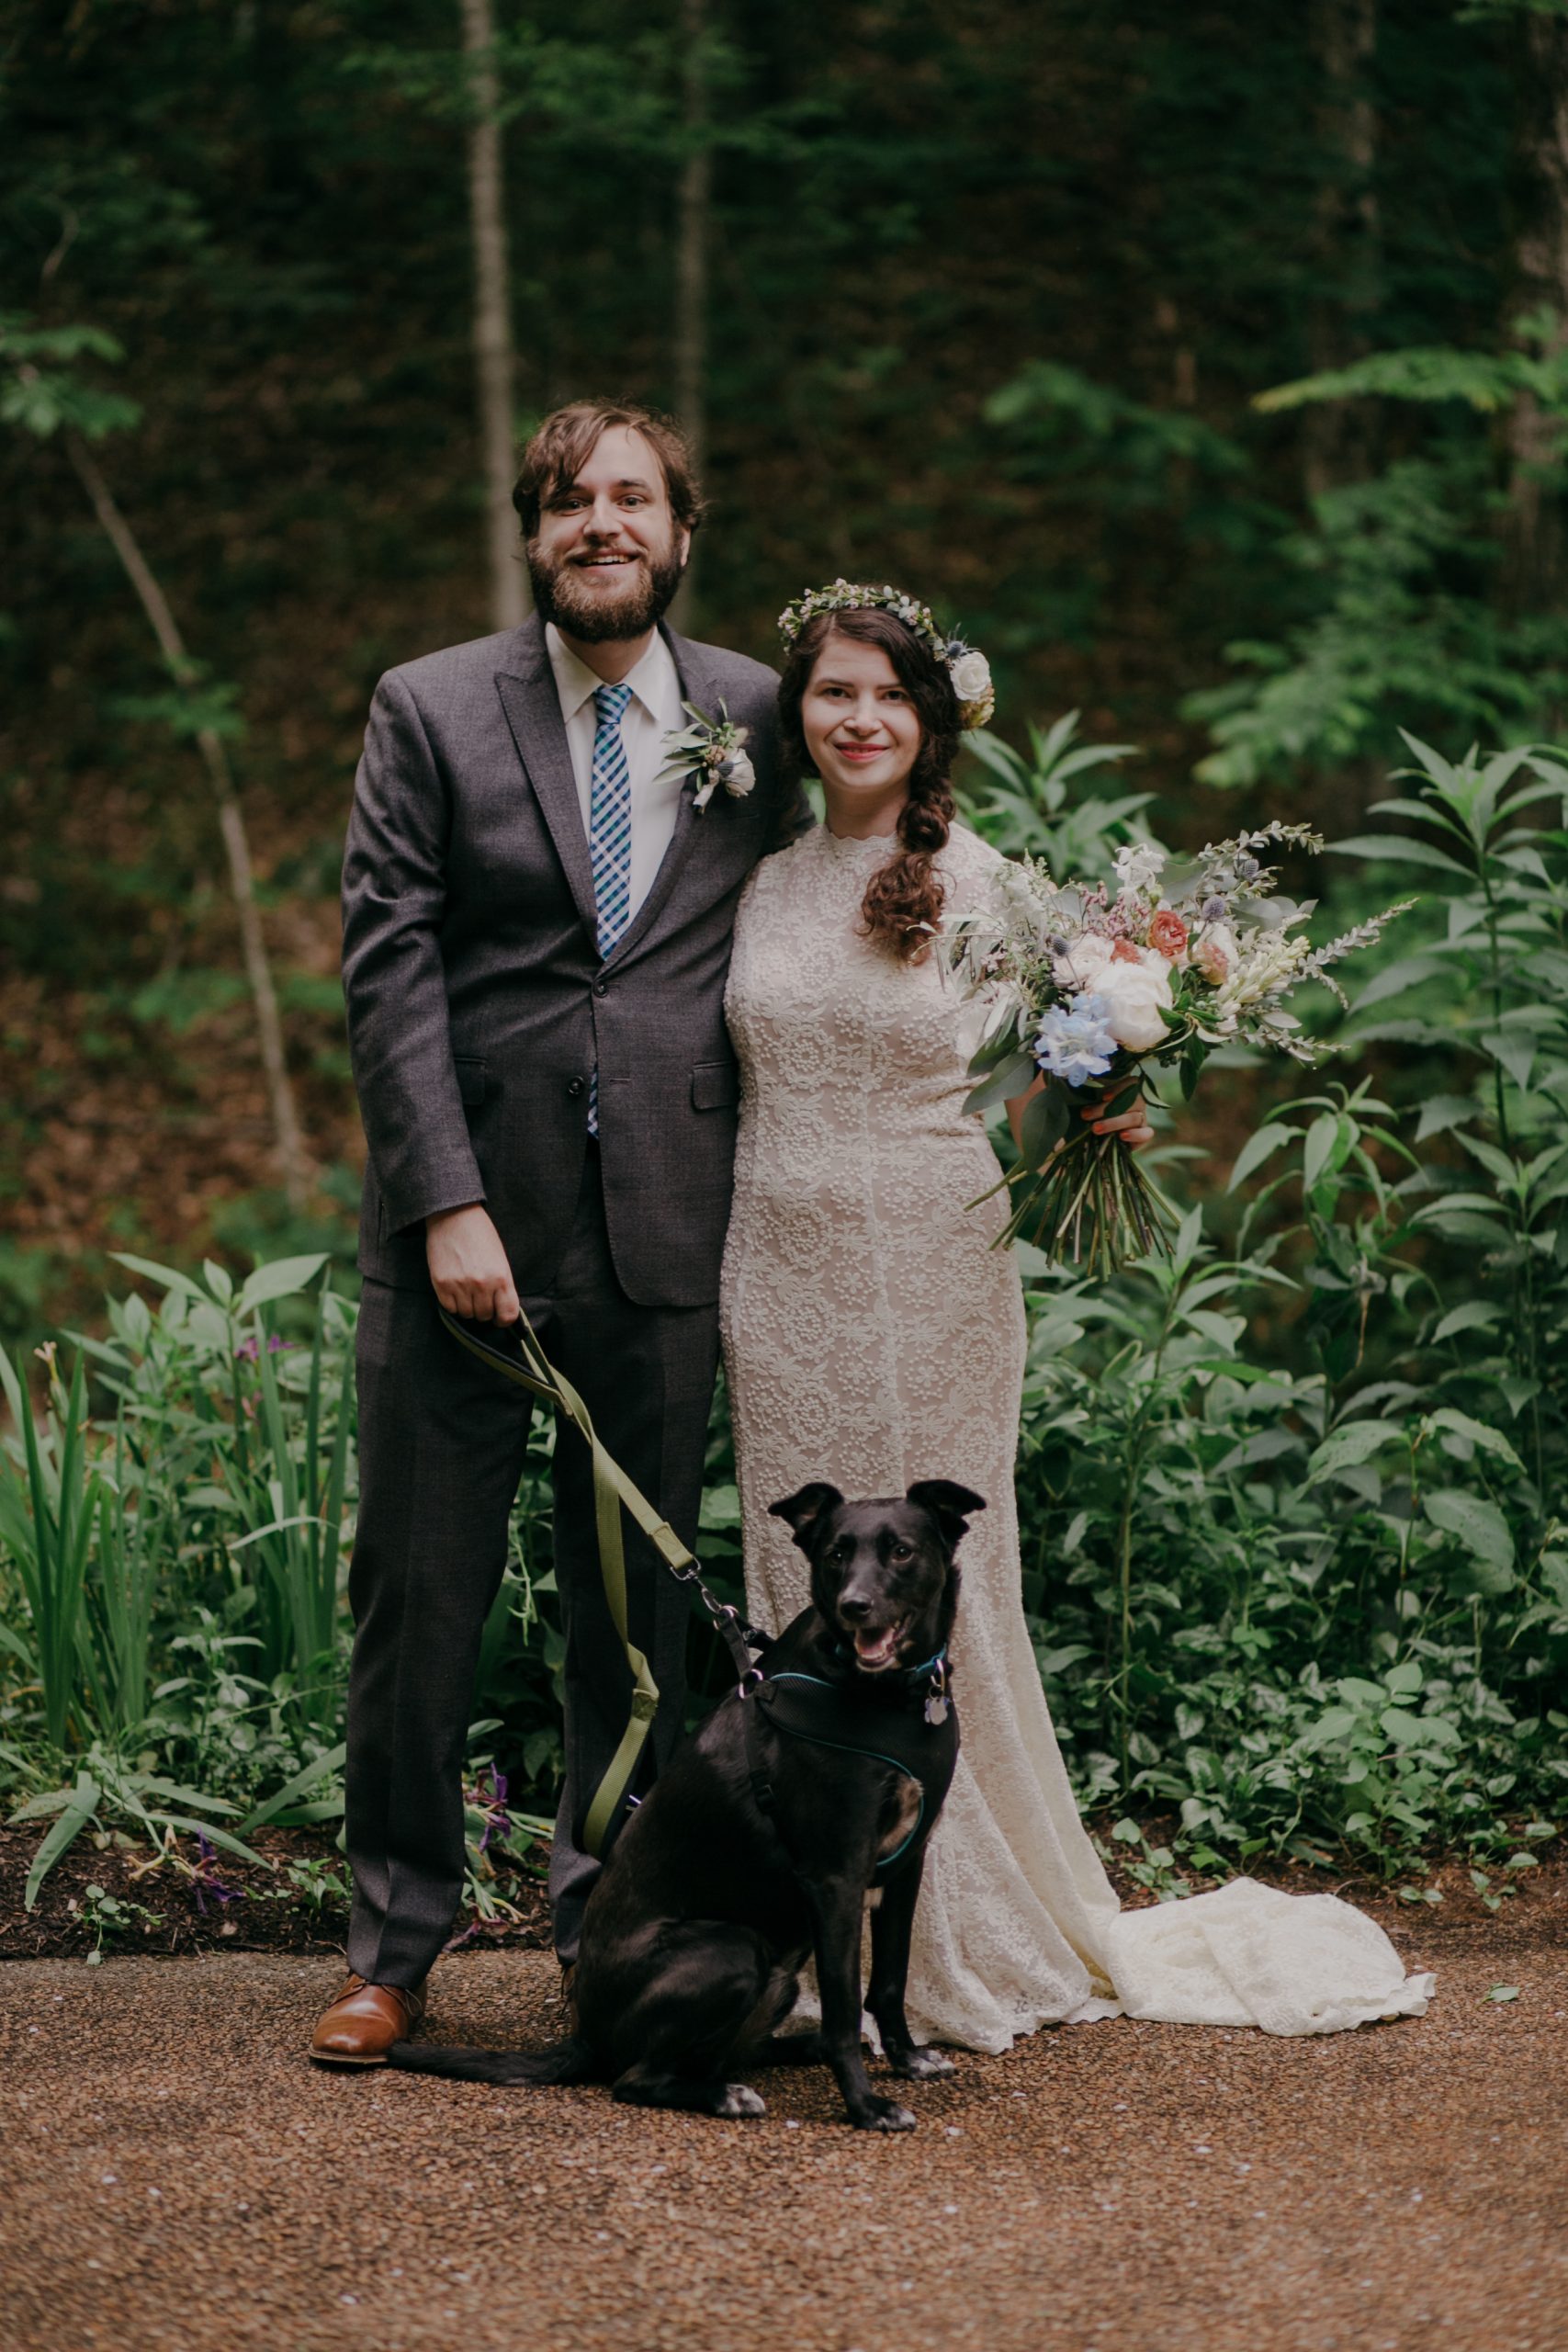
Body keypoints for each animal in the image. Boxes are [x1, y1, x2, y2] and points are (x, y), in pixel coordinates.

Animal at [388, 1476, 987, 2126]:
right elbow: (846, 2005)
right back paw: (728, 2093)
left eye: (901, 1551)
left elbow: (890, 1980)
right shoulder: (835, 1878)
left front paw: (906, 2058)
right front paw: (865, 2103)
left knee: (726, 2052)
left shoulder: (906, 1864)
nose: (855, 1605)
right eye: (835, 1555)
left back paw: (790, 2051)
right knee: (636, 2078)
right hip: (733, 1950)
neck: (881, 1692)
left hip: (776, 1977)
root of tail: (584, 2036)